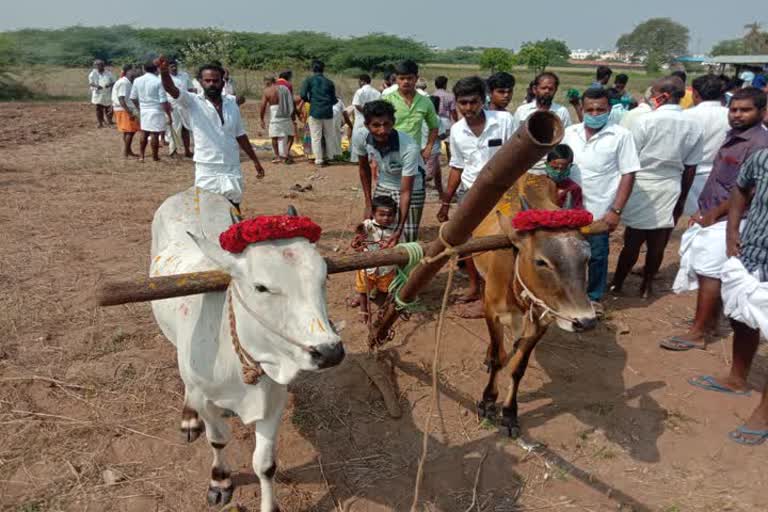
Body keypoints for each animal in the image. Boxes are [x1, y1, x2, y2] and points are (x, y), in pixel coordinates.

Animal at [150, 189, 342, 512]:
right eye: (261, 287)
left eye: (325, 276)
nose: (329, 351)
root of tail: (193, 191)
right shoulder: (208, 402)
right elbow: (218, 441)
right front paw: (219, 481)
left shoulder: (275, 399)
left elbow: (265, 464)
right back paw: (189, 417)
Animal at [472, 174, 608, 438]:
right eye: (541, 262)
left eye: (586, 258)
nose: (585, 321)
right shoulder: (492, 312)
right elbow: (497, 358)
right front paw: (488, 402)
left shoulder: (543, 321)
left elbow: (518, 367)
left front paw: (510, 413)